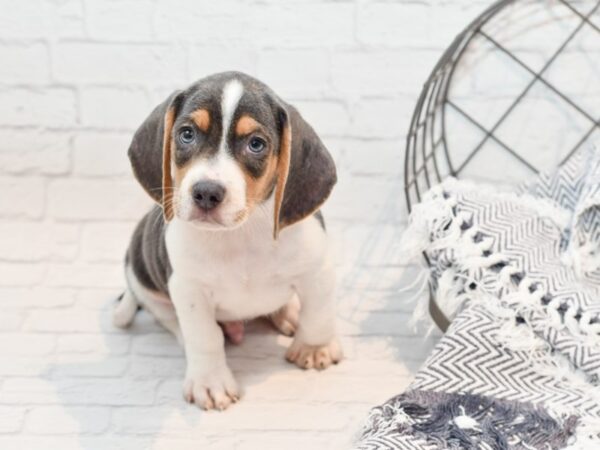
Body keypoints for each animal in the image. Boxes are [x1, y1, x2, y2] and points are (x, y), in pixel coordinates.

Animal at [116, 71, 342, 412]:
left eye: (256, 144)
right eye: (186, 134)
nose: (206, 192)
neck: (241, 233)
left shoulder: (317, 271)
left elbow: (319, 313)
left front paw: (314, 347)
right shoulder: (189, 289)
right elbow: (205, 337)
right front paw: (210, 382)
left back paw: (287, 313)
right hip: (142, 279)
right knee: (170, 319)